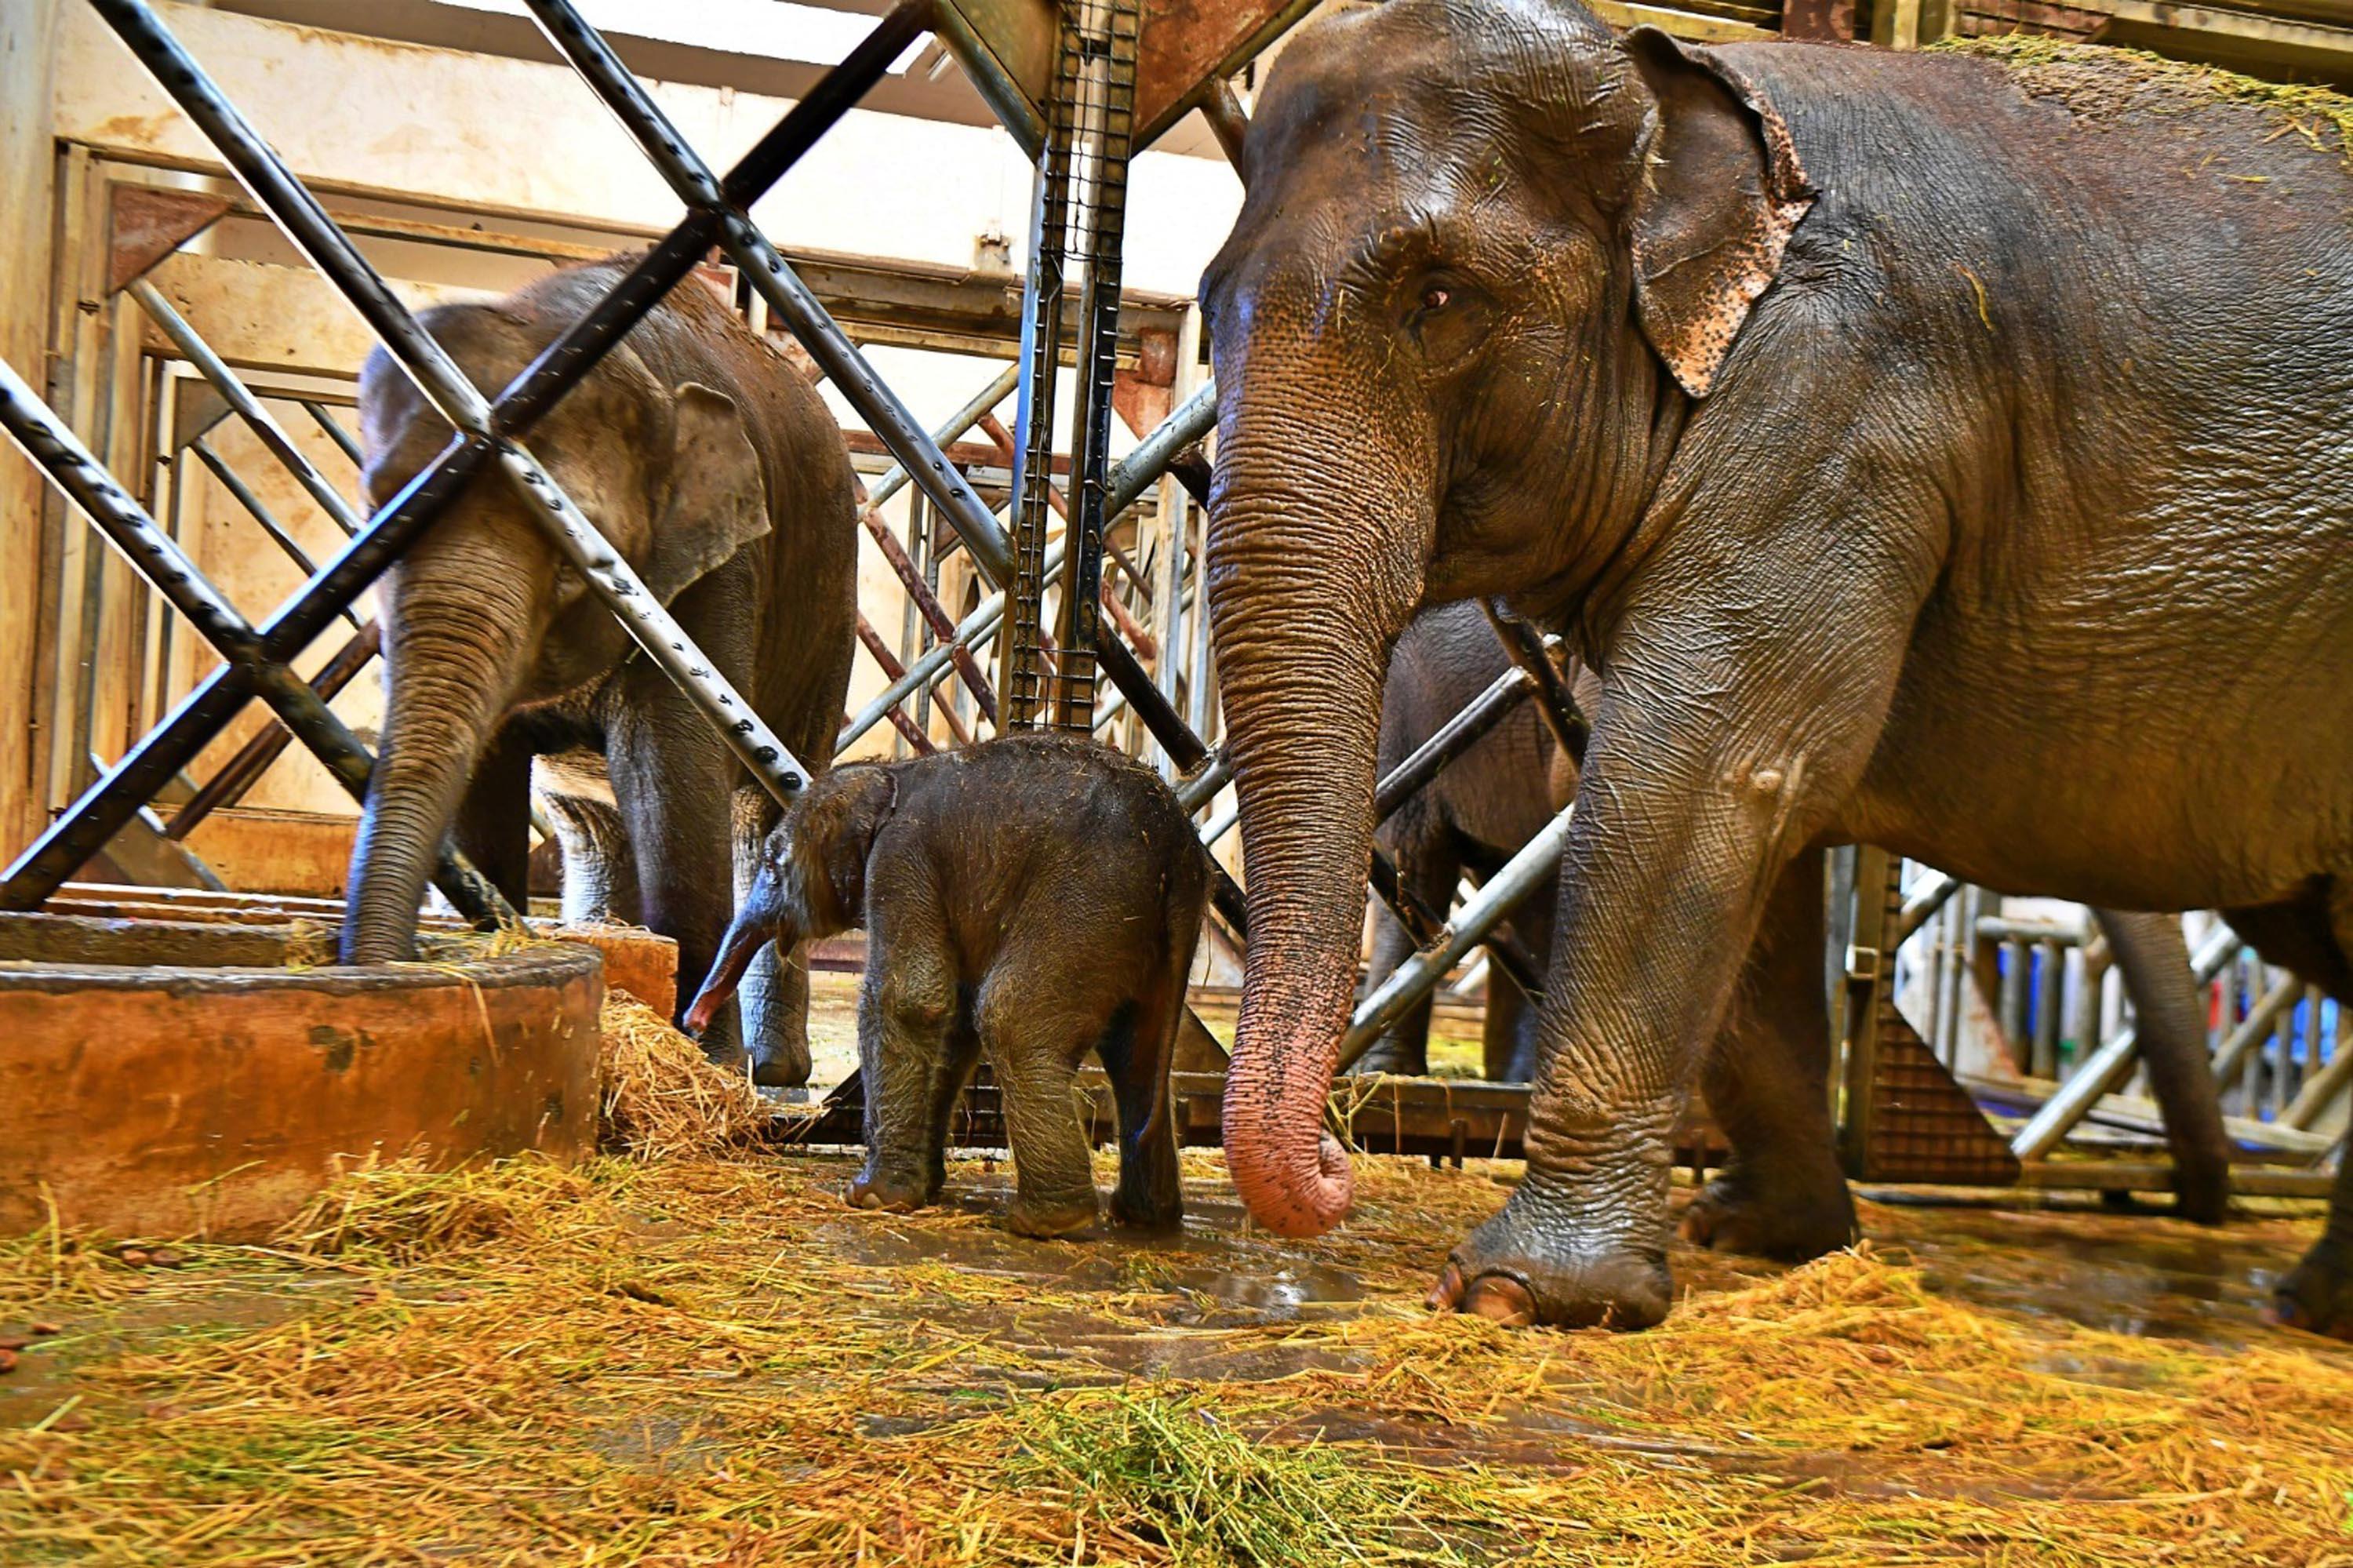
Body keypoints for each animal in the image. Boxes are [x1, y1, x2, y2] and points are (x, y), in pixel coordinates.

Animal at [346, 257, 859, 1085]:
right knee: (588, 823)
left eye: (573, 553)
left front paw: (706, 1063)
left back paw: (774, 1073)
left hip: (829, 612)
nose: (380, 978)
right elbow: (485, 778)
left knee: (763, 815)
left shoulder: (716, 571)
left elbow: (669, 766)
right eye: (379, 521)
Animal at [684, 731, 1210, 1237]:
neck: (889, 775)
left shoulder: (900, 858)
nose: (693, 1021)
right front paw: (923, 1188)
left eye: (773, 866)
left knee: (1011, 1019)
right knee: (1138, 1054)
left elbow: (911, 1000)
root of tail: (1180, 846)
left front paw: (870, 1198)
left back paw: (1050, 1223)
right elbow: (952, 1021)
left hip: (1088, 905)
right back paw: (1143, 1216)